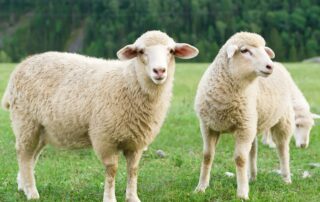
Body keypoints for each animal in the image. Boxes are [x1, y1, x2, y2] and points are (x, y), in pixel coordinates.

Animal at [1, 30, 198, 202]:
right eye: (141, 51)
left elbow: (133, 169)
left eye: (171, 51)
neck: (129, 82)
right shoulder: (105, 137)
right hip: (26, 122)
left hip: (42, 129)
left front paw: (133, 197)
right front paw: (109, 198)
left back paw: (23, 186)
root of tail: (22, 65)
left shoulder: (137, 141)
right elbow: (112, 170)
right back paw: (31, 192)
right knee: (24, 155)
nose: (159, 71)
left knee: (31, 156)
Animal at [194, 32, 294, 200]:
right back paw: (251, 177)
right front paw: (201, 187)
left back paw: (286, 178)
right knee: (253, 151)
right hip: (253, 122)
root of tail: (280, 65)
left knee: (283, 149)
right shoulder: (208, 126)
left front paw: (242, 193)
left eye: (264, 49)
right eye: (244, 51)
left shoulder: (243, 127)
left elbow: (240, 159)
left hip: (282, 119)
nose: (270, 66)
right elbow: (207, 156)